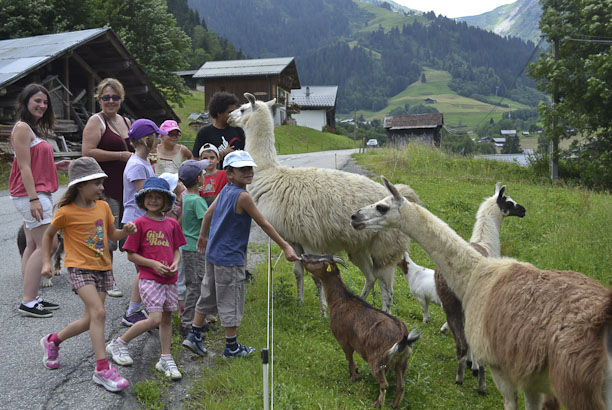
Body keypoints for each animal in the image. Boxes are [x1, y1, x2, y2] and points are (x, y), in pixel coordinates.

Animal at [227, 95, 418, 314]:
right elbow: (298, 272)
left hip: (386, 247)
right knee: (370, 277)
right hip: (359, 247)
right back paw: (361, 302)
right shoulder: (293, 239)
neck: (269, 174)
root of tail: (404, 199)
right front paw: (300, 302)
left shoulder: (310, 238)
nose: (229, 117)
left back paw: (384, 313)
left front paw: (323, 310)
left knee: (387, 290)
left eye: (242, 109)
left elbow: (316, 276)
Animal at [302, 255, 420, 408]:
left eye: (320, 260)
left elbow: (349, 358)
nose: (303, 257)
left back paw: (377, 404)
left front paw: (352, 377)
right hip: (402, 362)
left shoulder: (344, 340)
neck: (340, 300)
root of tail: (403, 338)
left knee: (385, 384)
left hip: (376, 360)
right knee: (401, 385)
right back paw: (393, 405)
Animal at [354, 178, 612, 410]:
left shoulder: (502, 366)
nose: (355, 217)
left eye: (381, 206)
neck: (476, 274)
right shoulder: (530, 378)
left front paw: (478, 382)